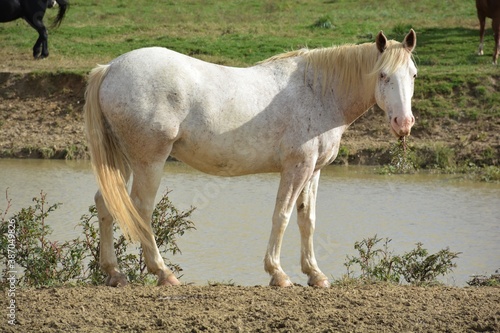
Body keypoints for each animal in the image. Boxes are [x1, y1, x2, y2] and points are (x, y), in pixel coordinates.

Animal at [85, 29, 418, 286]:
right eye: (383, 75)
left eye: (413, 75)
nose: (404, 123)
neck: (319, 92)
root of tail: (110, 68)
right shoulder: (296, 167)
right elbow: (282, 216)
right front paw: (278, 274)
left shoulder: (314, 170)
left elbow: (307, 219)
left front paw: (315, 274)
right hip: (149, 162)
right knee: (141, 209)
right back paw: (163, 273)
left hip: (122, 160)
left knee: (105, 203)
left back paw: (114, 273)